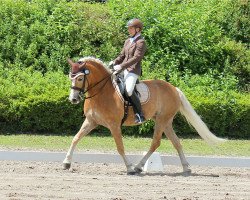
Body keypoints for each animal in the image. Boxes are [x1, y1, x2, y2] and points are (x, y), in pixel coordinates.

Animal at [63, 56, 227, 175]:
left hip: (161, 120)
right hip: (166, 122)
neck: (101, 92)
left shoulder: (114, 125)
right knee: (176, 142)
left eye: (79, 78)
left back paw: (138, 167)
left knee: (156, 143)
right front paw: (66, 163)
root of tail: (174, 88)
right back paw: (186, 168)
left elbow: (120, 147)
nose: (73, 99)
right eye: (70, 77)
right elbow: (75, 138)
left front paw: (129, 167)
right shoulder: (91, 121)